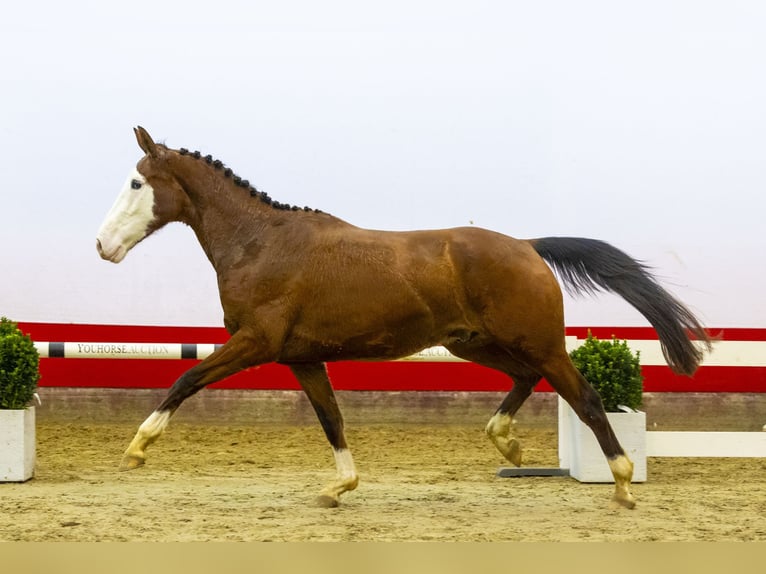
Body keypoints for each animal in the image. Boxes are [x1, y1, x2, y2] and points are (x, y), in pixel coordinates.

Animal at [97, 128, 712, 510]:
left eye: (136, 183)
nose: (102, 246)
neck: (260, 244)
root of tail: (527, 247)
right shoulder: (302, 358)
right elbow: (332, 420)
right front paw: (339, 488)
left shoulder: (257, 342)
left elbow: (185, 377)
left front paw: (136, 450)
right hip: (474, 343)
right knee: (526, 379)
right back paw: (508, 445)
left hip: (537, 343)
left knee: (583, 396)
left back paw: (623, 485)